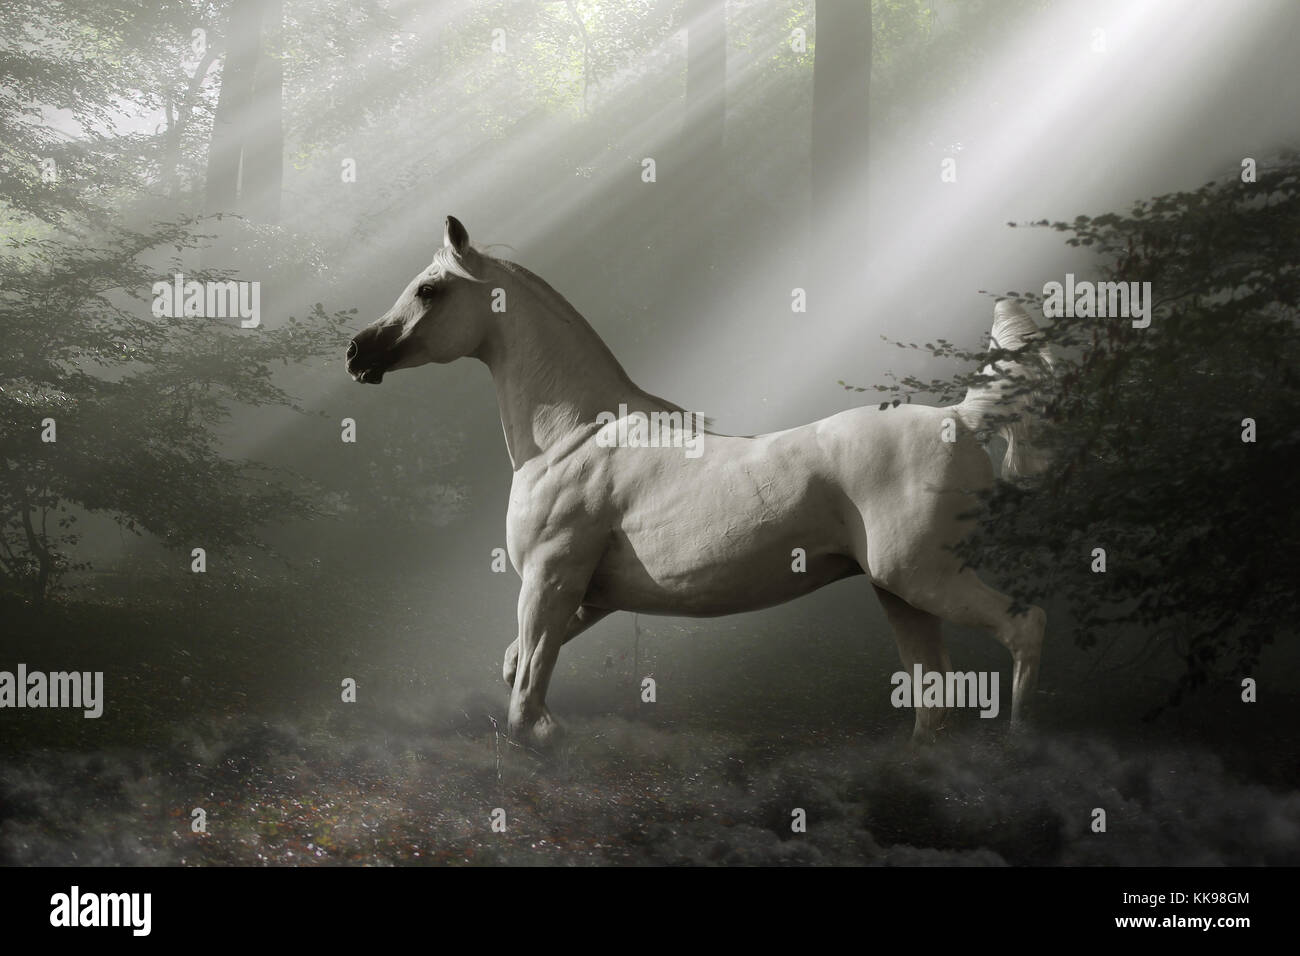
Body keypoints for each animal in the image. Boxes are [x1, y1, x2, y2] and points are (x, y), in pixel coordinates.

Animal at [346, 215, 1052, 747]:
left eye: (429, 290)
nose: (358, 353)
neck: (572, 437)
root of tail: (960, 419)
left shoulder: (550, 579)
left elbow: (526, 699)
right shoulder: (590, 595)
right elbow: (516, 662)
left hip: (923, 577)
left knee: (1026, 628)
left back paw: (1021, 745)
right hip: (900, 593)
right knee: (934, 699)